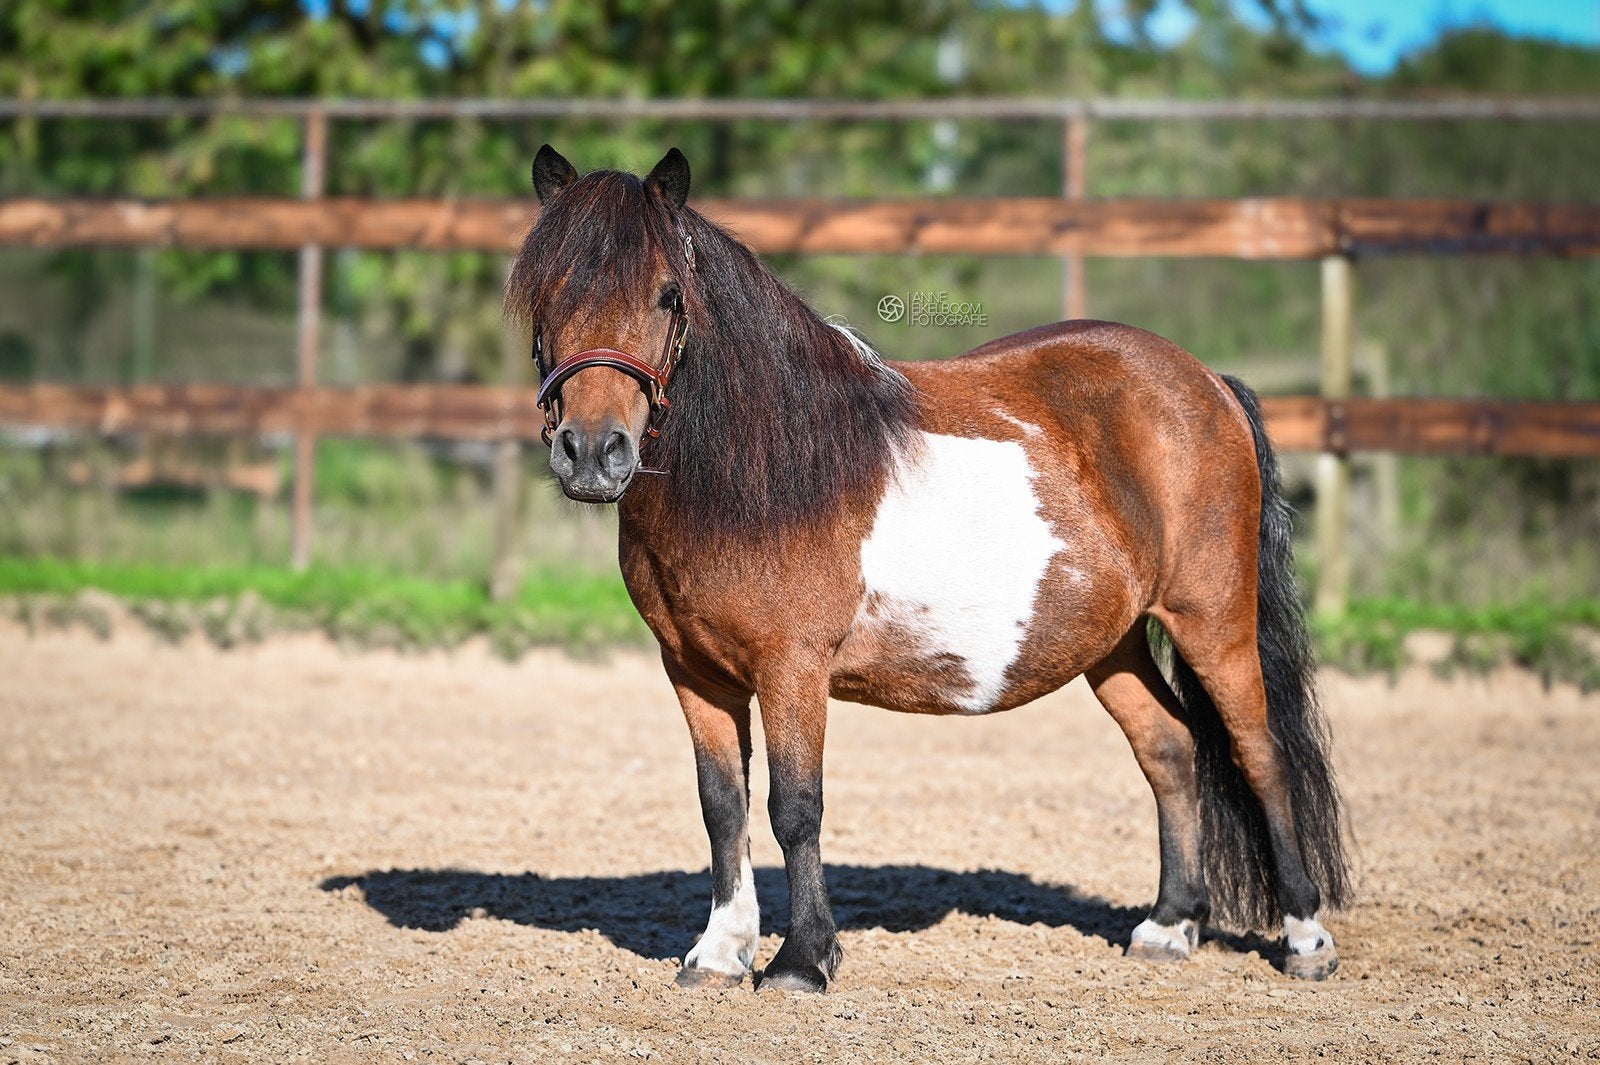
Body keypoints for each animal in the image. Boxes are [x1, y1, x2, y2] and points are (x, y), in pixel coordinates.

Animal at [505, 145, 1350, 993]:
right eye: (546, 293)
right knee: (1169, 747)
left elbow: (794, 807)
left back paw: (1306, 938)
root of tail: (1207, 384)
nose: (592, 451)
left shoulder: (791, 667)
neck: (760, 470)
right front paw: (717, 952)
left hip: (1212, 618)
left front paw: (802, 959)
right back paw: (1169, 925)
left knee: (1259, 754)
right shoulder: (692, 669)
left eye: (667, 294)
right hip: (1112, 642)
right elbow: (722, 803)